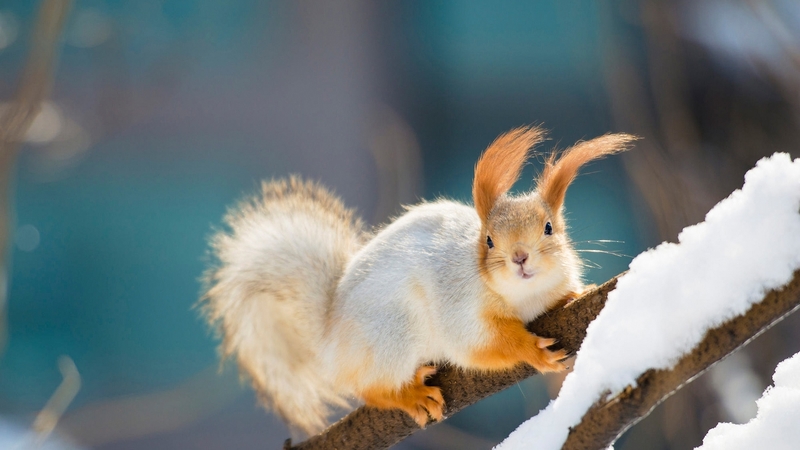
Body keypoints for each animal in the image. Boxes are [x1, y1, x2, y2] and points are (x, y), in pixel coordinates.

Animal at [200, 125, 637, 435]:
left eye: (549, 228)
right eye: (489, 240)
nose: (519, 257)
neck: (522, 296)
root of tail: (328, 337)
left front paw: (576, 294)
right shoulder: (461, 310)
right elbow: (480, 345)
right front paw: (531, 349)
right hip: (394, 331)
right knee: (369, 388)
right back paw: (410, 395)